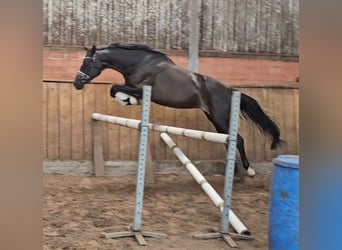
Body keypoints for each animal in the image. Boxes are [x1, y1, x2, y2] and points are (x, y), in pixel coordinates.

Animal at [74, 42, 284, 176]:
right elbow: (115, 89)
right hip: (214, 119)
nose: (77, 83)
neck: (140, 63)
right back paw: (234, 171)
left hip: (220, 118)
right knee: (229, 141)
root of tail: (228, 90)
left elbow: (114, 88)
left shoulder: (142, 89)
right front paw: (128, 100)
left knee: (238, 140)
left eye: (87, 62)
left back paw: (249, 170)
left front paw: (127, 100)